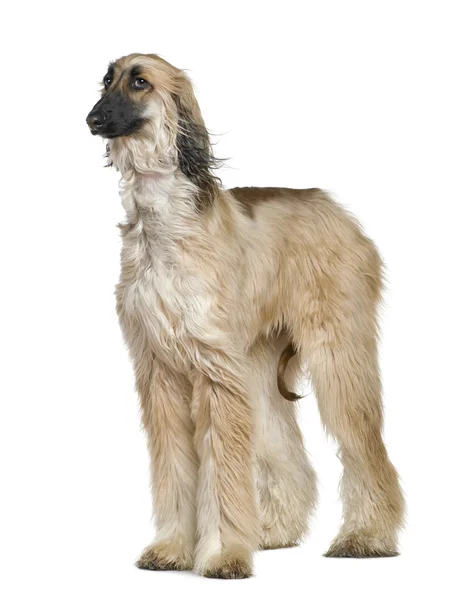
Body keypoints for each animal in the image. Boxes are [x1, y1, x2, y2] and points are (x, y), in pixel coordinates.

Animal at [86, 54, 402, 580]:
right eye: (105, 81)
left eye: (139, 81)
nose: (92, 119)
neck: (164, 226)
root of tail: (334, 206)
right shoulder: (160, 368)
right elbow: (173, 466)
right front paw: (172, 548)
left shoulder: (214, 367)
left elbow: (222, 467)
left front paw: (224, 555)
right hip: (256, 363)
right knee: (285, 447)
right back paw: (273, 531)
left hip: (336, 345)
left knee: (363, 443)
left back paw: (367, 536)